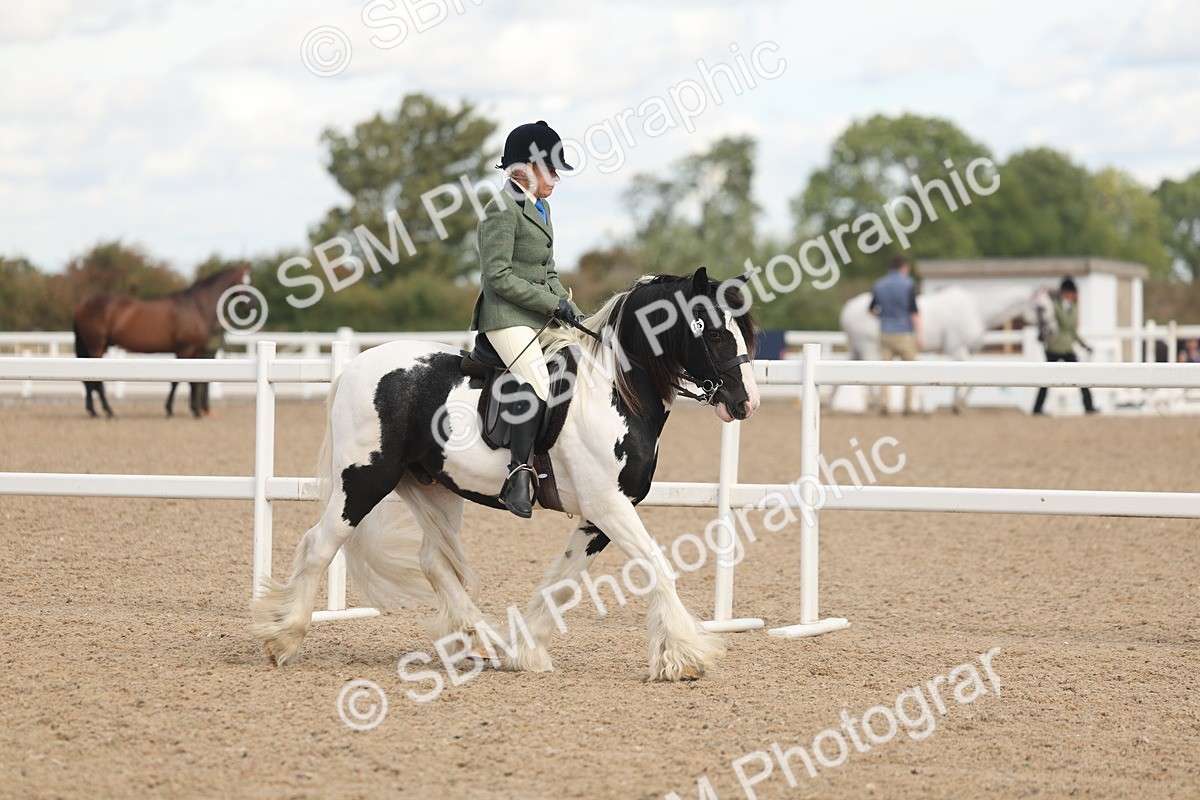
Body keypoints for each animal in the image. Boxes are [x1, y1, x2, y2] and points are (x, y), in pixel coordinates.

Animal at [72, 265, 250, 418]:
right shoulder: (185, 349)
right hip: (96, 346)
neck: (197, 306)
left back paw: (94, 411)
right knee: (96, 381)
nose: (250, 306)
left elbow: (194, 382)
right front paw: (170, 410)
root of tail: (82, 304)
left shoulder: (197, 351)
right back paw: (109, 412)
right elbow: (176, 382)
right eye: (244, 281)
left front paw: (195, 411)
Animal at [251, 268, 761, 682]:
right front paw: (685, 657)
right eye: (716, 333)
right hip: (364, 479)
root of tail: (357, 364)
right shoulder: (608, 506)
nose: (746, 403)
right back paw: (283, 638)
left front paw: (526, 652)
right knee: (320, 544)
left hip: (437, 488)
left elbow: (563, 583)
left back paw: (485, 642)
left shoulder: (599, 515)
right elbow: (658, 567)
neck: (615, 391)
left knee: (433, 561)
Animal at [837, 284, 1040, 412]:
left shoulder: (966, 351)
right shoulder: (957, 348)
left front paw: (956, 405)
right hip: (868, 348)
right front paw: (958, 405)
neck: (976, 310)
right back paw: (877, 405)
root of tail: (847, 308)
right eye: (1040, 308)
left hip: (857, 349)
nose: (1047, 330)